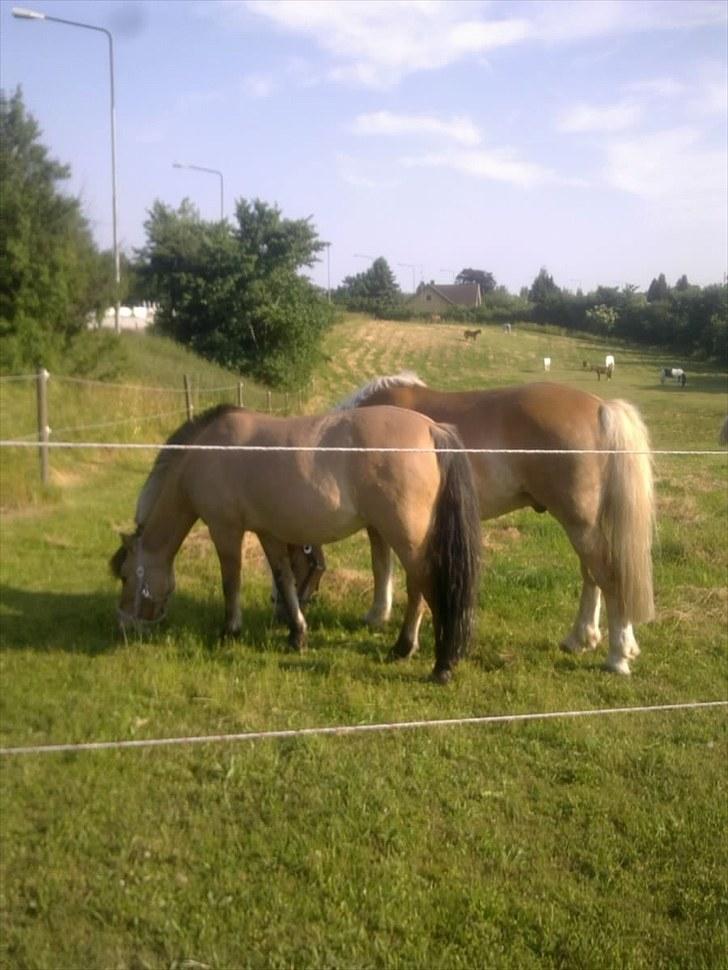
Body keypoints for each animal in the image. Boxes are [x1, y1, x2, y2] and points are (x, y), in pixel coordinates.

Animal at [111, 400, 480, 680]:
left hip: (405, 537)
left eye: (127, 576)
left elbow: (231, 581)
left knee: (428, 587)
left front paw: (230, 631)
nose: (125, 626)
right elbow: (284, 580)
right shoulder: (269, 533)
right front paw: (297, 635)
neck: (207, 450)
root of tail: (431, 430)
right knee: (418, 589)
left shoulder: (225, 530)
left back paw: (441, 665)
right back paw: (403, 648)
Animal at [292, 370, 656, 672]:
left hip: (579, 524)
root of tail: (601, 408)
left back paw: (617, 657)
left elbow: (381, 567)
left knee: (608, 576)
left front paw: (377, 615)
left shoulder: (380, 523)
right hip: (583, 525)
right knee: (593, 576)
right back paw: (583, 639)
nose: (293, 608)